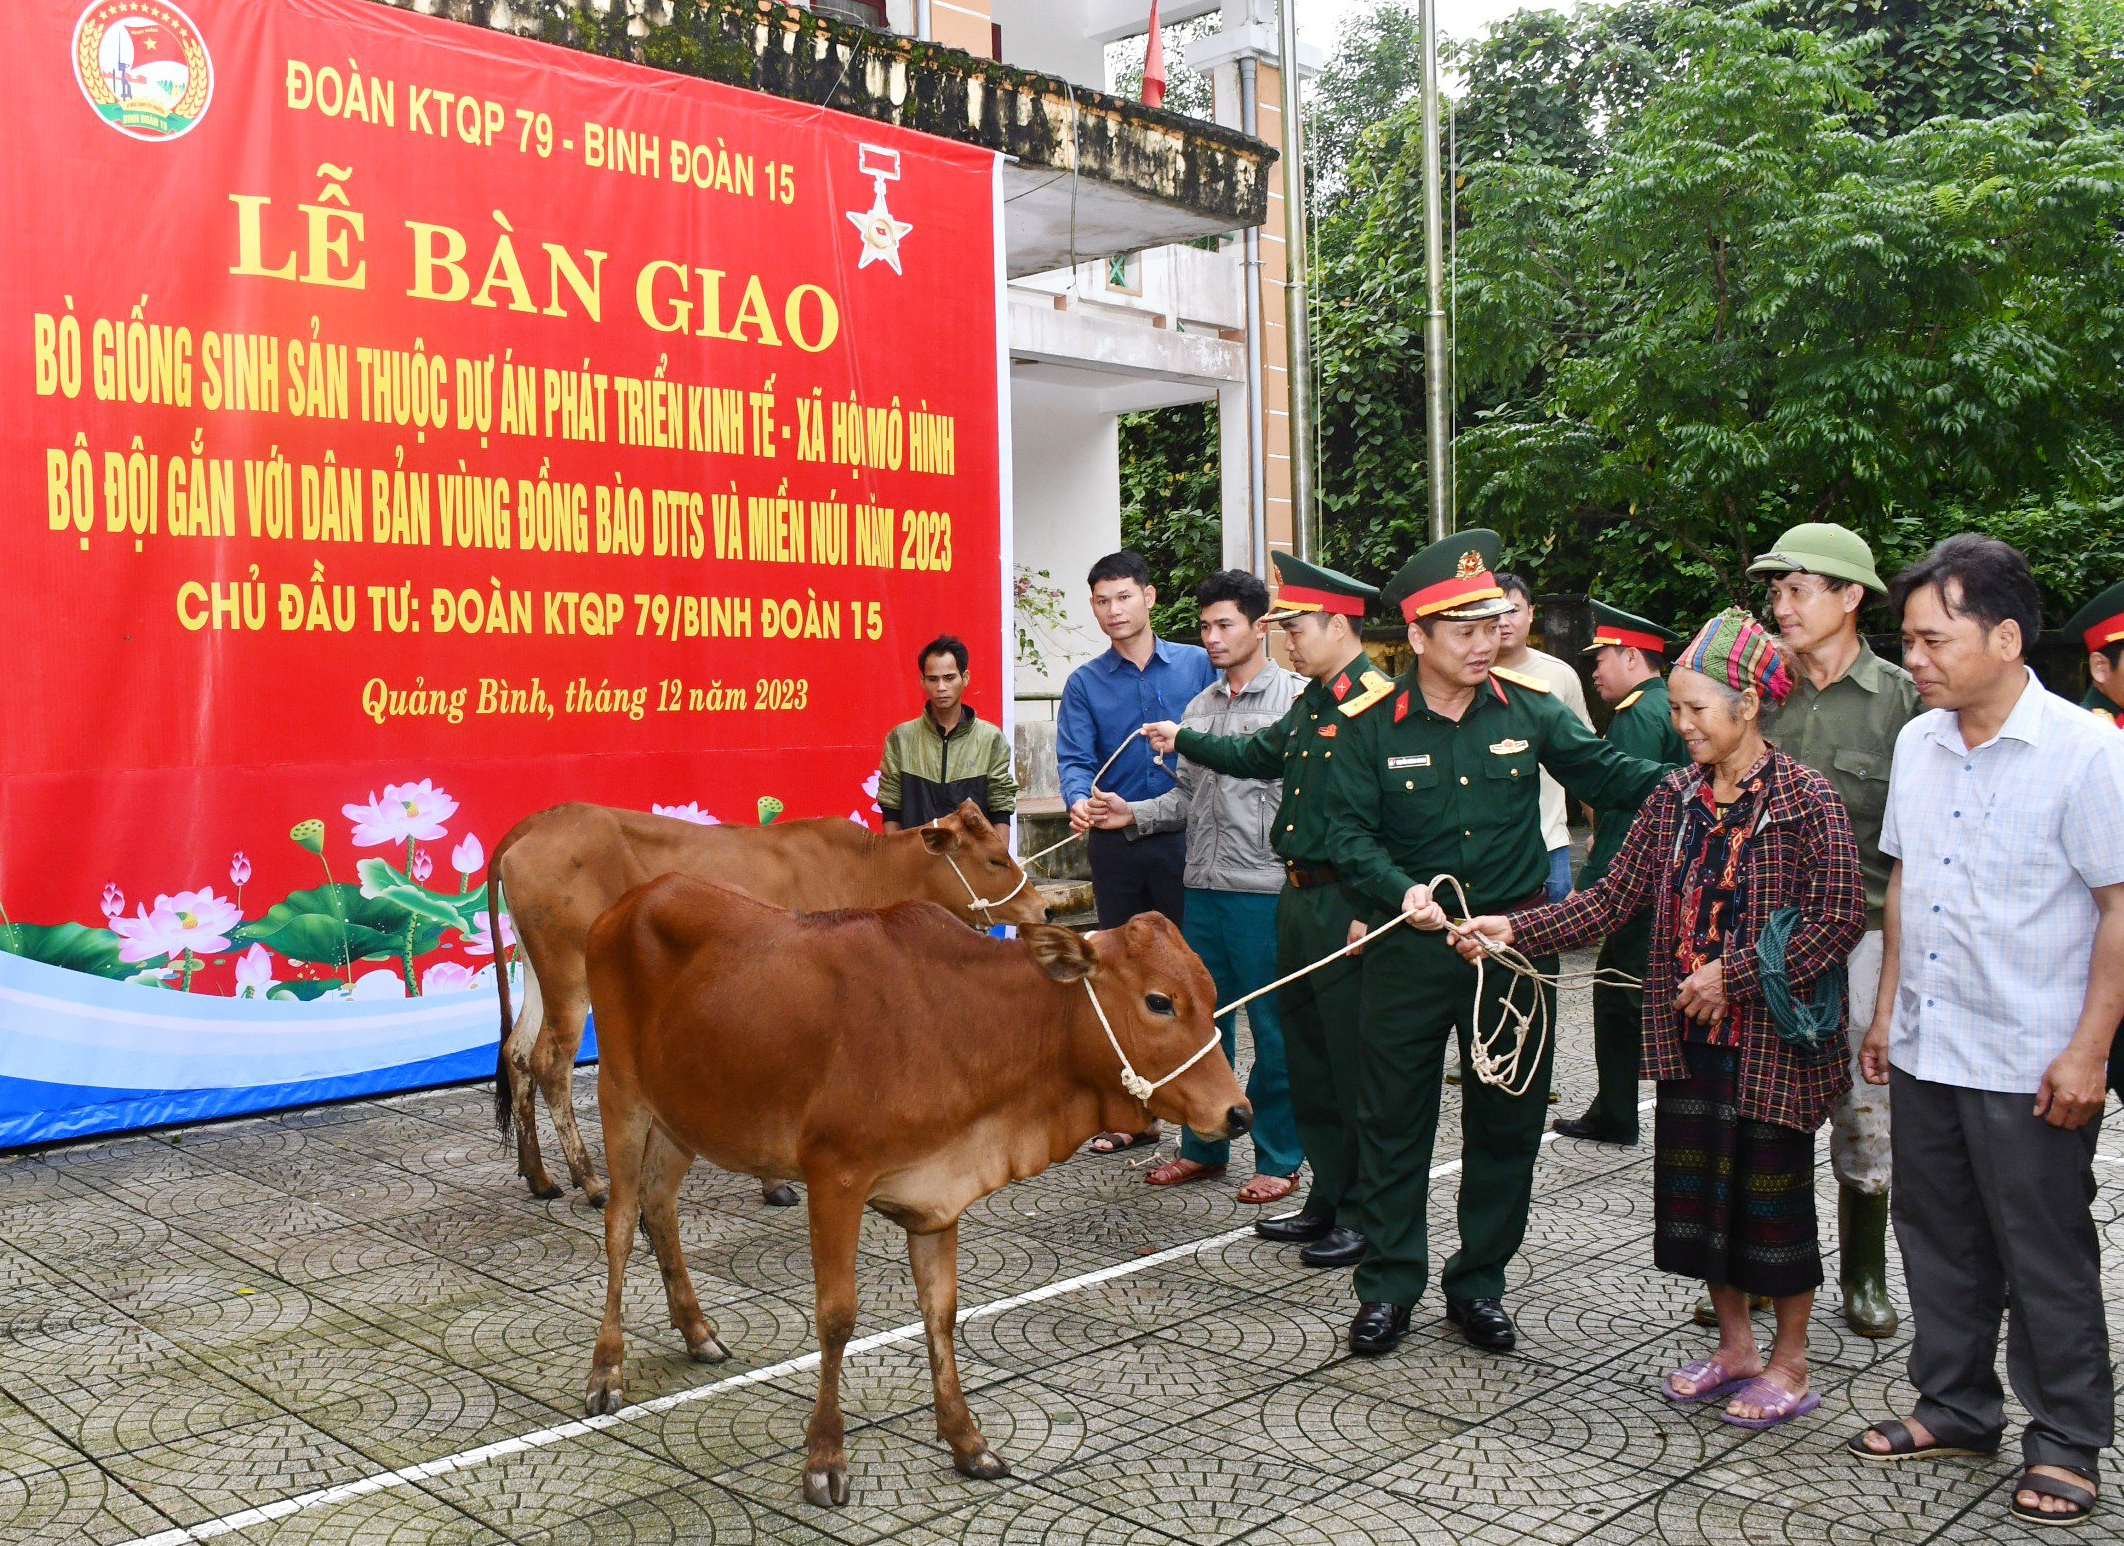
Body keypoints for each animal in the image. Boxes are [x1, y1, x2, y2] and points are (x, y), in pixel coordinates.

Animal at [484, 802, 1045, 1197]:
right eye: (996, 858)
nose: (1042, 906)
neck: (868, 868)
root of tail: (537, 823)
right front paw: (778, 1182)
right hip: (569, 974)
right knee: (550, 1062)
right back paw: (589, 1179)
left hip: (536, 970)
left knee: (517, 1053)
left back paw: (539, 1176)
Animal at [581, 883, 1240, 1512]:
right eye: (1160, 1001)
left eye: (1212, 994)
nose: (1238, 1112)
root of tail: (626, 902)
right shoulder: (836, 1178)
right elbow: (836, 1318)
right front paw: (825, 1459)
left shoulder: (937, 1198)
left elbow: (940, 1314)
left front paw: (968, 1443)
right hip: (622, 1096)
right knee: (620, 1222)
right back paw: (606, 1371)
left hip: (684, 1116)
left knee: (659, 1206)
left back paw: (697, 1333)